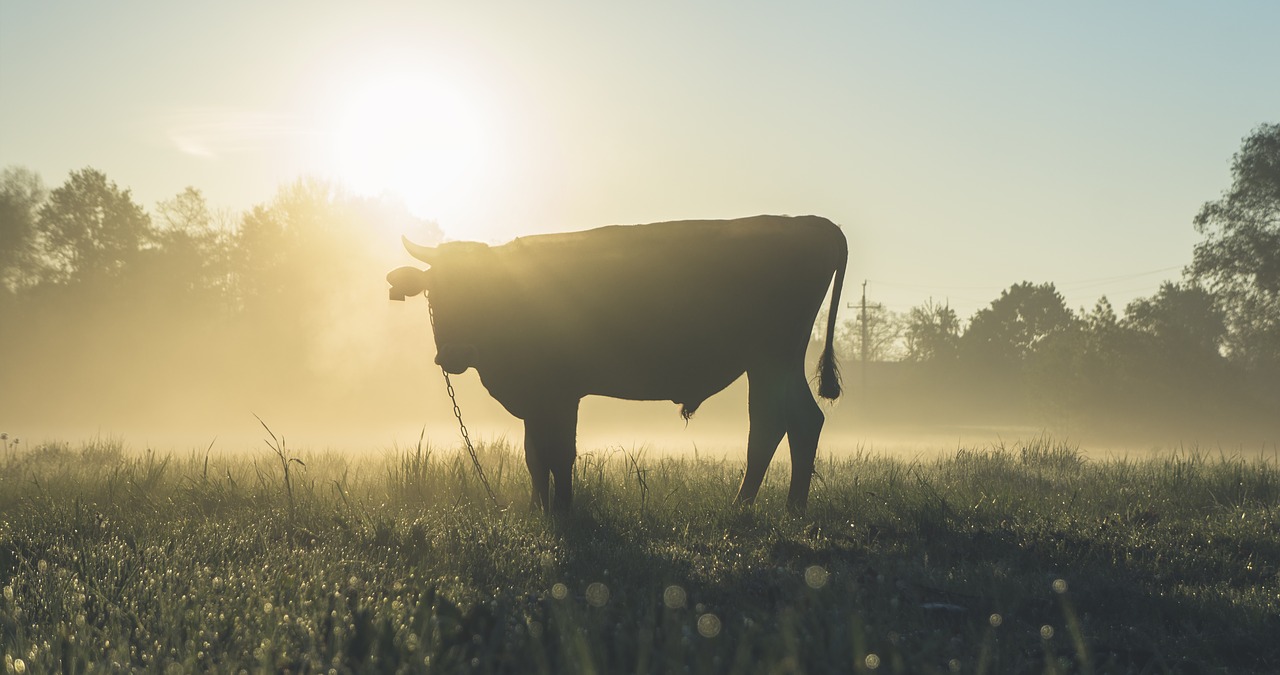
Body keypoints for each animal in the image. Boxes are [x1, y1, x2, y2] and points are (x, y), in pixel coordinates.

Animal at [387, 215, 847, 514]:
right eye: (434, 291)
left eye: (481, 288)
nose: (456, 353)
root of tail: (814, 223)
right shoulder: (536, 399)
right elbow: (534, 455)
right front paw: (537, 510)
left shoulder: (559, 393)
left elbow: (559, 453)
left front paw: (563, 510)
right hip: (773, 362)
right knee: (791, 422)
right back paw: (777, 506)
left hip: (772, 358)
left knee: (780, 423)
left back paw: (763, 508)